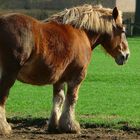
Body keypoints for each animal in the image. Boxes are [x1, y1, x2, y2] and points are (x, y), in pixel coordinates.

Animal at [0, 4, 130, 135]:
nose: (126, 55)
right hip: (9, 74)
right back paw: (4, 127)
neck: (81, 32)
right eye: (123, 31)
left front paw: (54, 126)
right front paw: (70, 126)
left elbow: (59, 99)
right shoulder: (77, 76)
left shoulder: (59, 78)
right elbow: (72, 98)